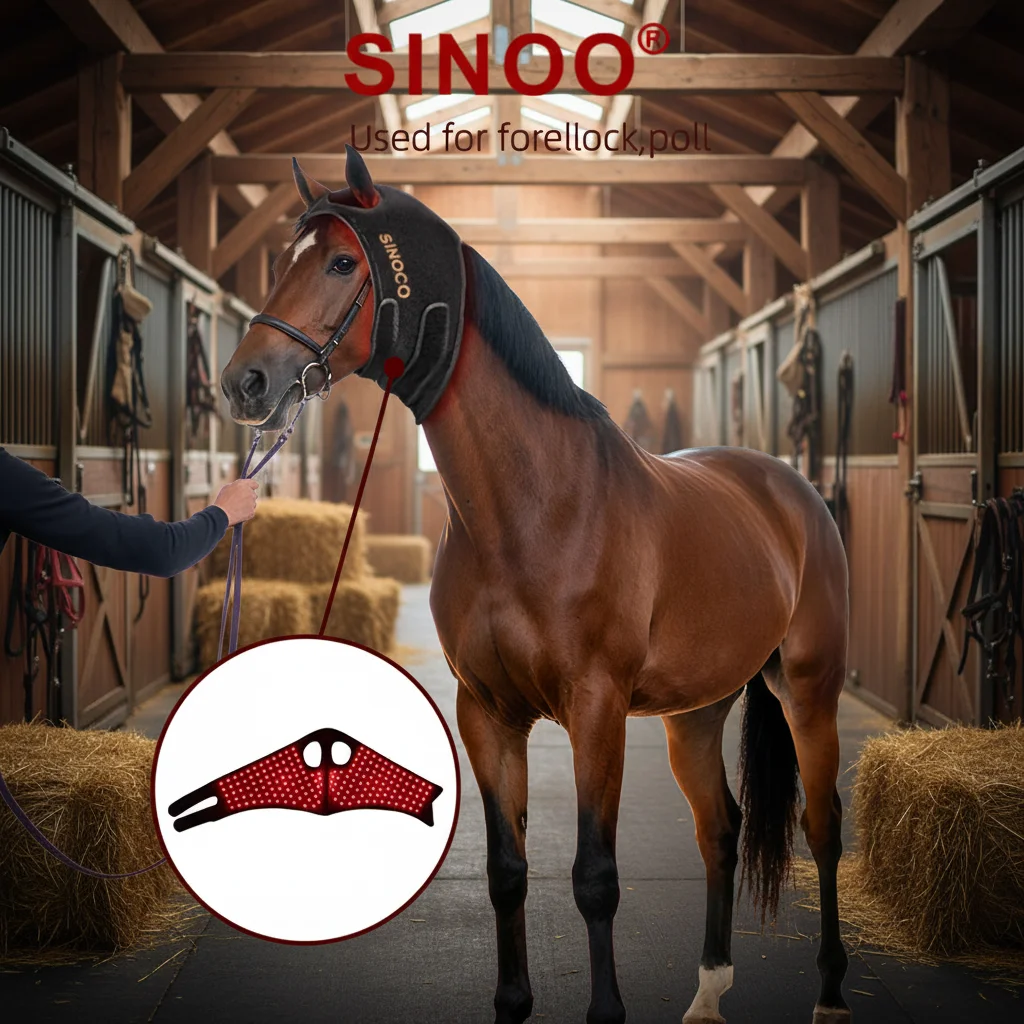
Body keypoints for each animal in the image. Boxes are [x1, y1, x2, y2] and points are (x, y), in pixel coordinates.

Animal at [221, 148, 850, 1024]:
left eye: (343, 262)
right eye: (284, 260)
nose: (244, 382)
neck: (537, 505)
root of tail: (792, 488)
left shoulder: (597, 709)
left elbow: (595, 877)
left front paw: (606, 1011)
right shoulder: (487, 713)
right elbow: (507, 871)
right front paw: (513, 1002)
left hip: (809, 690)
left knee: (822, 827)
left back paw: (830, 994)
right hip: (694, 713)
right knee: (720, 830)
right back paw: (708, 991)